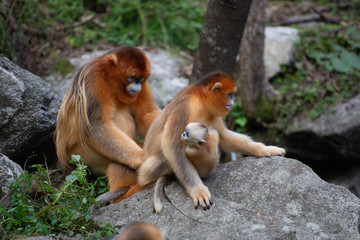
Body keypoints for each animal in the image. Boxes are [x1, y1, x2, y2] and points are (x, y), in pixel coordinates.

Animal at [54, 45, 160, 191]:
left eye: (141, 79)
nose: (137, 85)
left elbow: (146, 114)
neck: (110, 78)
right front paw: (142, 159)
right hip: (80, 156)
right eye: (132, 78)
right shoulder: (94, 77)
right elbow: (96, 126)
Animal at [116, 71, 286, 208]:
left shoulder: (213, 113)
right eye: (229, 94)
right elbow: (172, 145)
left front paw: (265, 150)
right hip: (147, 170)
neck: (201, 100)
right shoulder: (185, 106)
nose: (232, 102)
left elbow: (225, 137)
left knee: (213, 136)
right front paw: (198, 191)